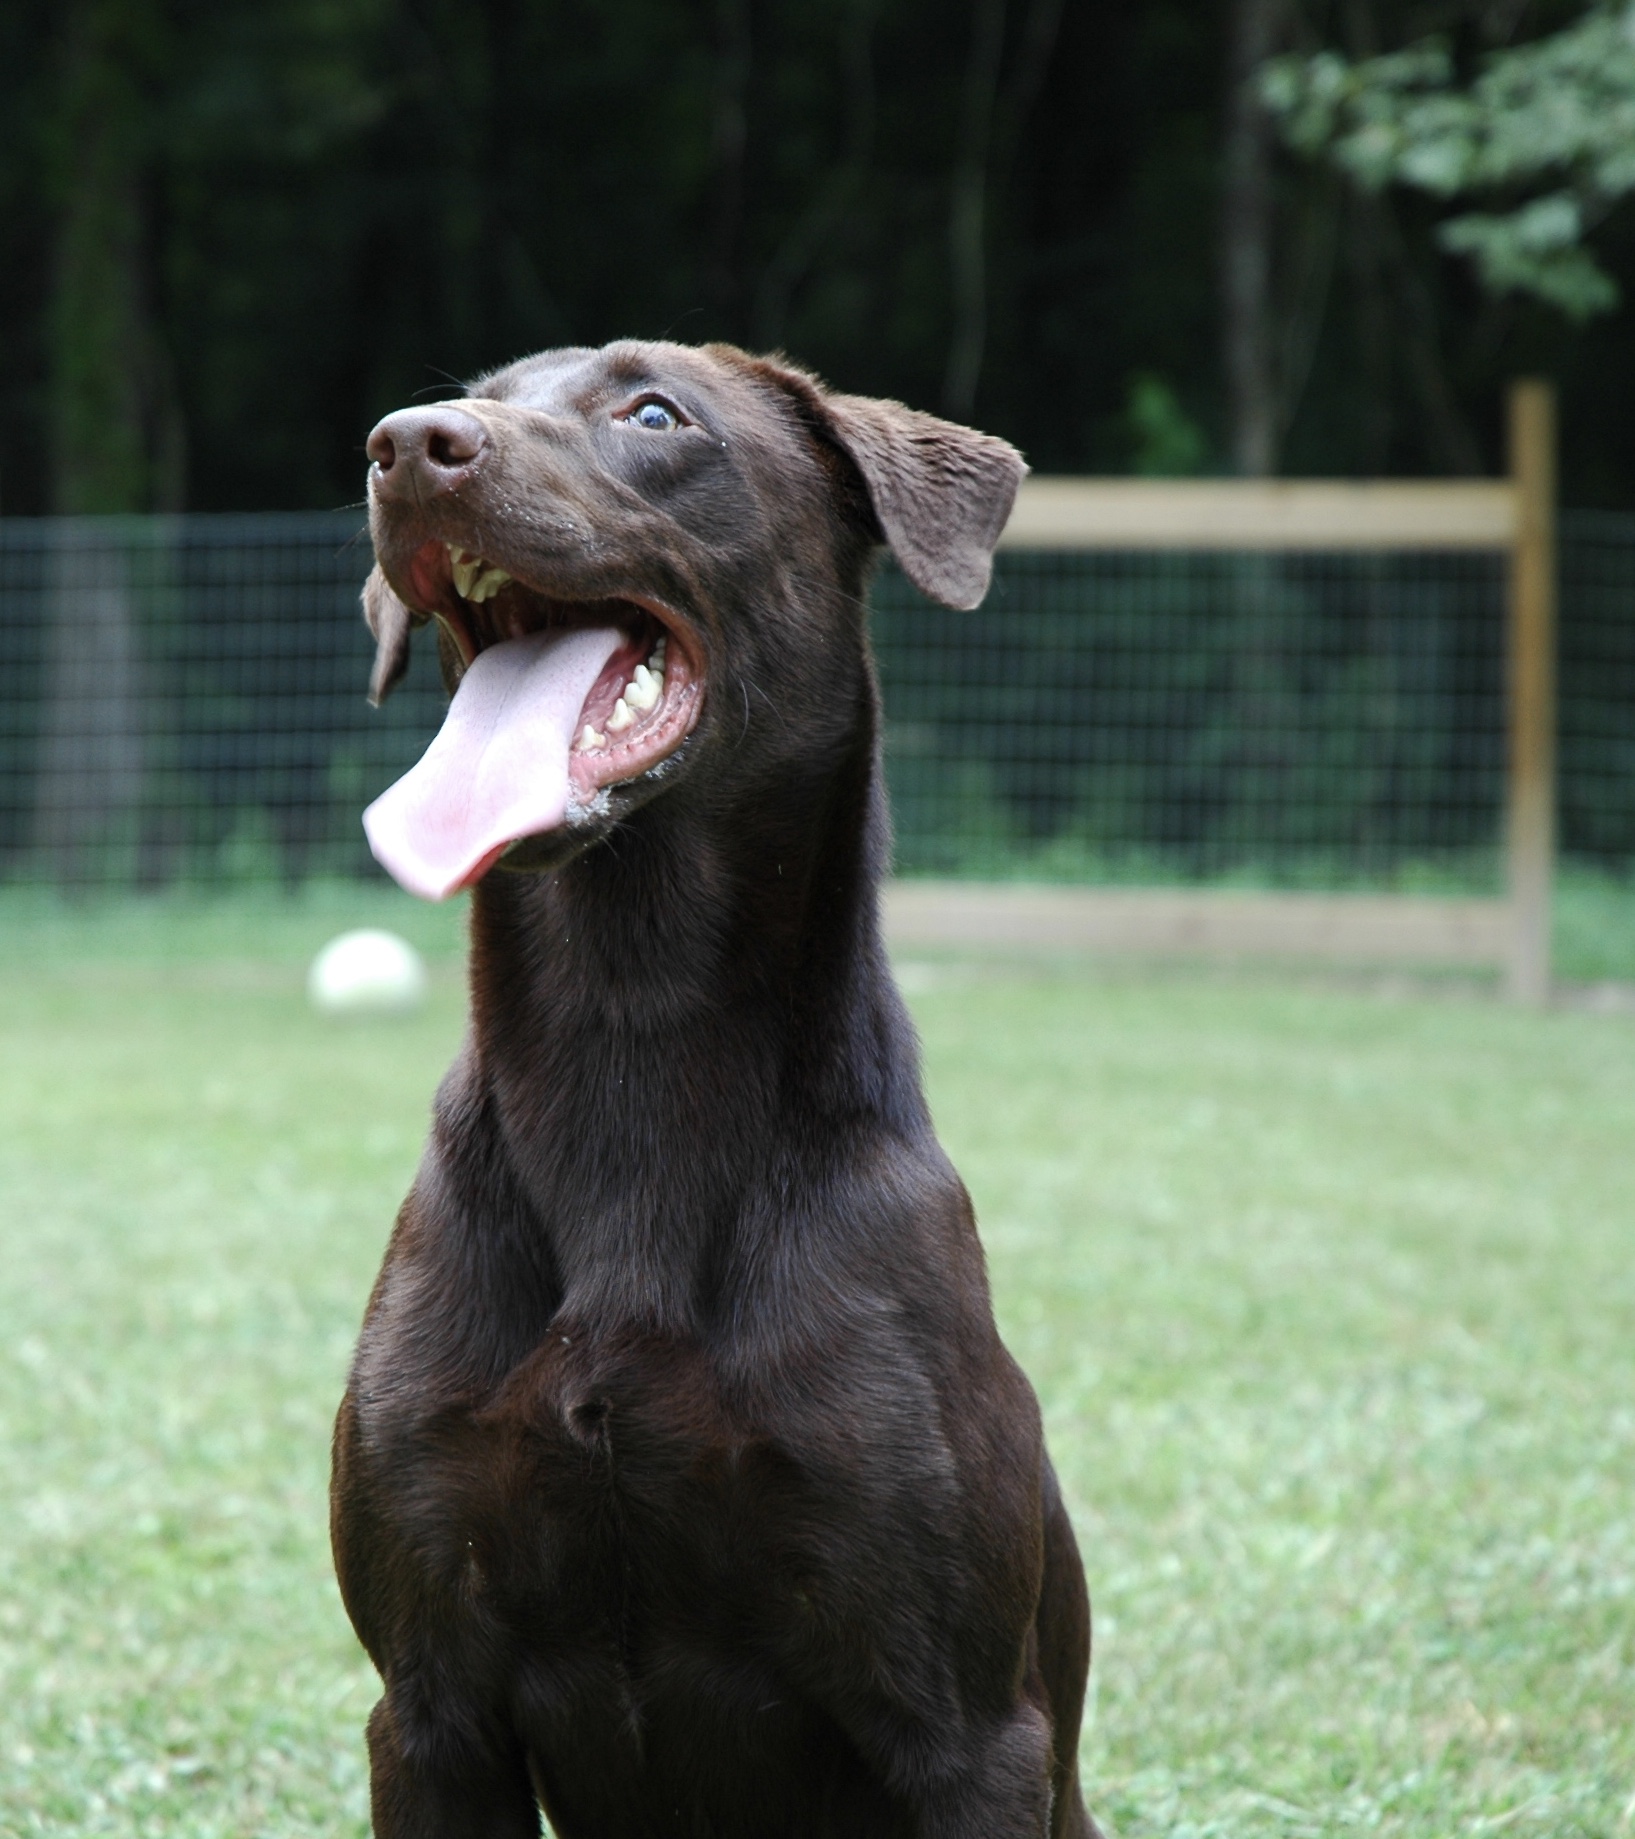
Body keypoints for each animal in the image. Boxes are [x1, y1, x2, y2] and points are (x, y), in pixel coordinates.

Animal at [331, 338, 1096, 1831]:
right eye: (479, 395)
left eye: (653, 413)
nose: (403, 444)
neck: (632, 1024)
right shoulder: (429, 1706)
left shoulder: (971, 1730)